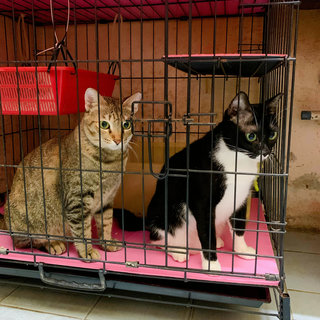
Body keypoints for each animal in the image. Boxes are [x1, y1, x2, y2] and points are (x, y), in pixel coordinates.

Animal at [3, 87, 141, 260]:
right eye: (104, 124)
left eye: (126, 124)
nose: (118, 140)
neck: (110, 162)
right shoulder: (77, 199)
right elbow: (83, 230)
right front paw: (87, 251)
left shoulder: (107, 198)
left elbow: (106, 222)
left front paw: (107, 242)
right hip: (28, 222)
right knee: (28, 242)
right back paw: (53, 243)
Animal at [146, 91, 282, 272]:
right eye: (251, 136)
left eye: (273, 135)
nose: (266, 152)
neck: (238, 159)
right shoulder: (202, 202)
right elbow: (207, 233)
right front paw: (211, 265)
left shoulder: (241, 196)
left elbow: (239, 225)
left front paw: (242, 250)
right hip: (167, 214)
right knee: (158, 237)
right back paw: (179, 251)